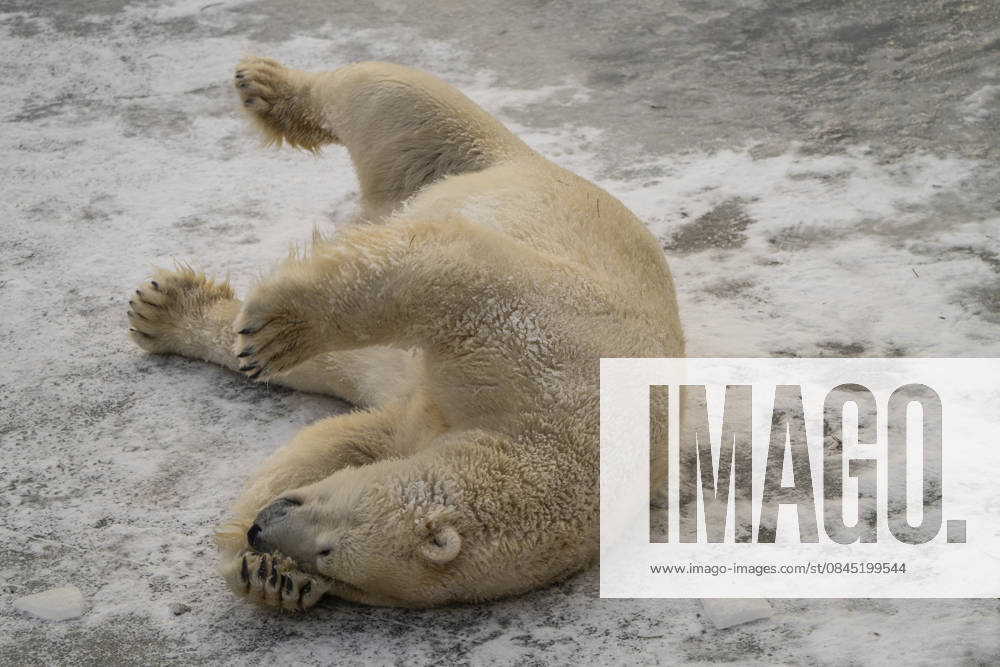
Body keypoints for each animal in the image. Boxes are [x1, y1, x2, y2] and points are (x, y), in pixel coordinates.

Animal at [126, 56, 684, 610]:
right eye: (330, 551)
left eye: (336, 569)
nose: (261, 530)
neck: (572, 443)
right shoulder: (550, 345)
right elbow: (451, 274)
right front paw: (278, 330)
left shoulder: (423, 426)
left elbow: (344, 441)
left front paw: (272, 575)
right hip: (471, 157)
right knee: (389, 100)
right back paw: (265, 84)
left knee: (323, 369)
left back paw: (165, 310)